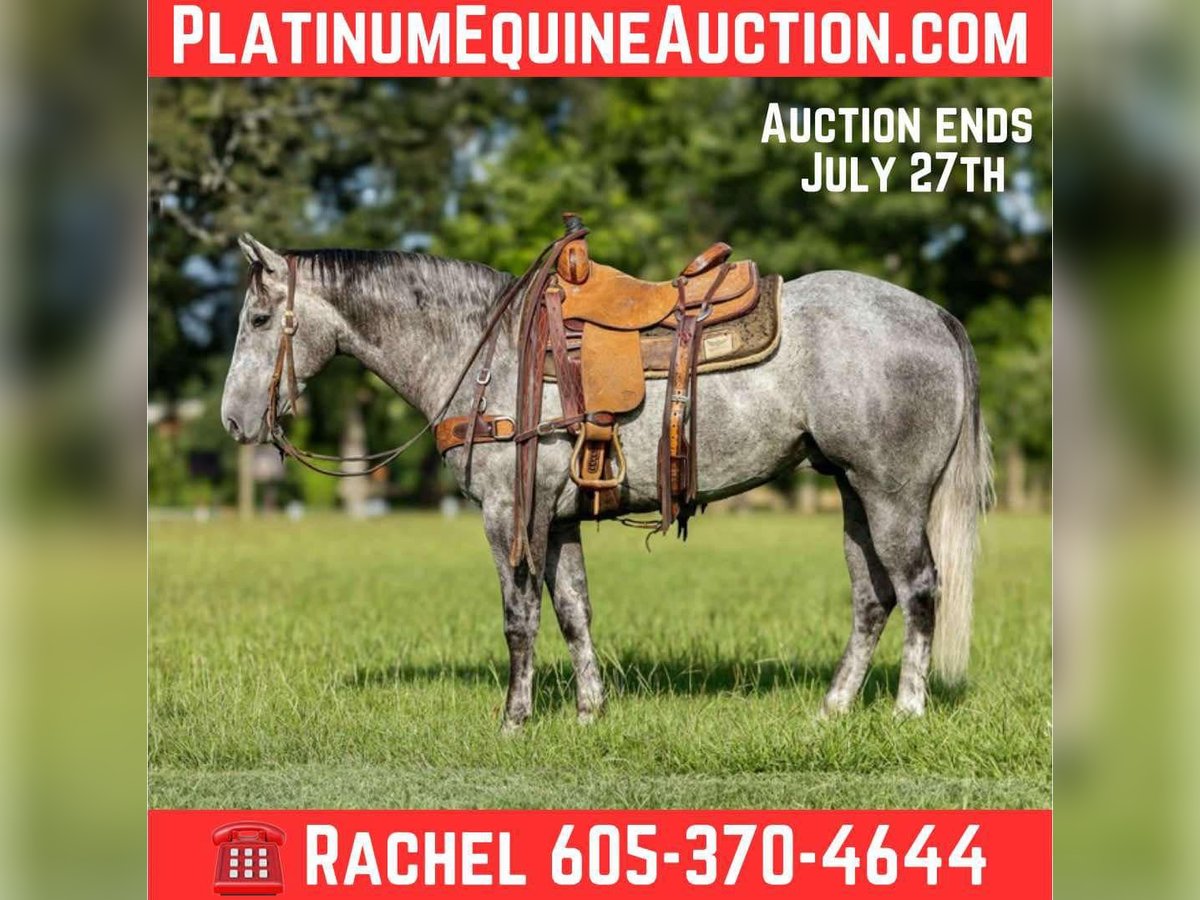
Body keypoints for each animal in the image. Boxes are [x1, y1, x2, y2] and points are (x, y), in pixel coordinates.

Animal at [220, 233, 992, 731]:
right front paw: (590, 711)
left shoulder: (512, 514)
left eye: (259, 318)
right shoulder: (558, 520)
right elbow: (573, 612)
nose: (233, 420)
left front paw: (514, 719)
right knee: (872, 598)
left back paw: (909, 708)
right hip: (854, 491)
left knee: (920, 588)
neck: (488, 355)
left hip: (892, 495)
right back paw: (831, 710)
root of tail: (935, 314)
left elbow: (520, 616)